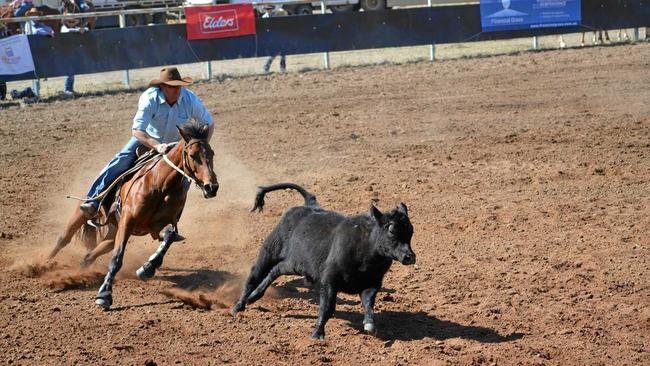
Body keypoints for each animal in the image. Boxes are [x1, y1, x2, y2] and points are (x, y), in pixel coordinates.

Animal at [48, 122, 219, 308]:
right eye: (193, 155)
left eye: (211, 153)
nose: (212, 187)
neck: (160, 185)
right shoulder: (128, 220)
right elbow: (117, 258)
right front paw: (104, 294)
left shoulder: (164, 223)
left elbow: (170, 236)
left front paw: (147, 268)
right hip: (89, 213)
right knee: (64, 238)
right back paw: (45, 265)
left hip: (114, 230)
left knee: (90, 255)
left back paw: (80, 273)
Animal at [233, 183, 416, 340]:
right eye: (391, 230)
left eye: (411, 231)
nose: (409, 257)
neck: (366, 251)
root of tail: (308, 206)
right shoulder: (329, 281)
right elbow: (327, 307)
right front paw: (317, 333)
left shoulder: (372, 283)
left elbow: (368, 304)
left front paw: (369, 324)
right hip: (269, 251)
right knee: (254, 275)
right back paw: (239, 306)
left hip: (295, 264)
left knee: (276, 270)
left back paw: (254, 297)